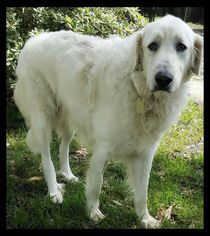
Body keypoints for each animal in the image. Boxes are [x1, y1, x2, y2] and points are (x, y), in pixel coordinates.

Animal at [13, 15, 202, 229]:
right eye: (152, 46)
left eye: (181, 47)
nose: (163, 79)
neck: (139, 90)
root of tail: (33, 39)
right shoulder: (103, 148)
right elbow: (96, 185)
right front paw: (93, 213)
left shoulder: (146, 152)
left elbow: (142, 192)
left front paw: (144, 218)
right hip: (43, 118)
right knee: (47, 158)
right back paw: (54, 191)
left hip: (71, 118)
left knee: (63, 147)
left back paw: (68, 175)